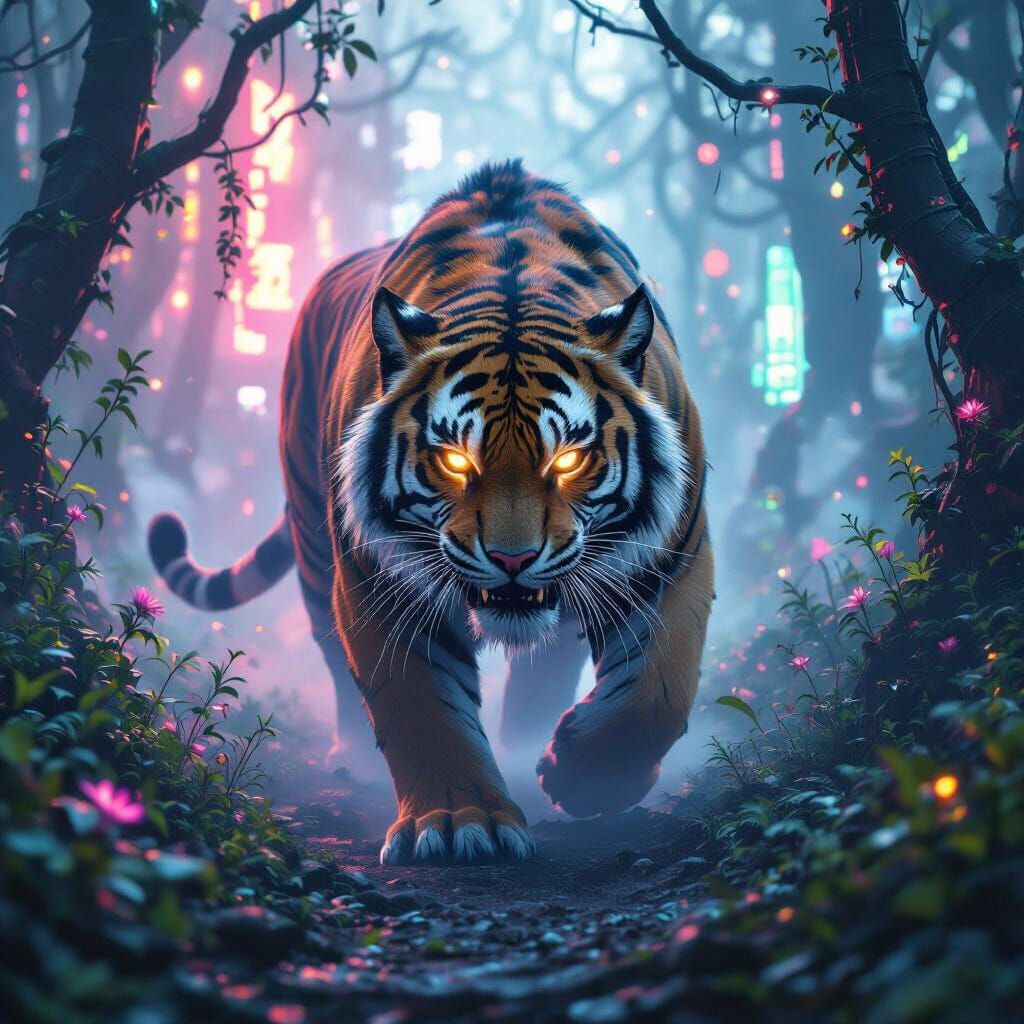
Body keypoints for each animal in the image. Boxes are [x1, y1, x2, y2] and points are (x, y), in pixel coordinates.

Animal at [148, 160, 713, 865]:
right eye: (453, 460)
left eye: (567, 461)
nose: (512, 559)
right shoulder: (380, 581)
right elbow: (423, 707)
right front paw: (457, 823)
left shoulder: (674, 556)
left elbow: (655, 695)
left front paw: (584, 778)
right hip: (312, 537)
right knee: (338, 662)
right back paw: (355, 759)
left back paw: (530, 744)